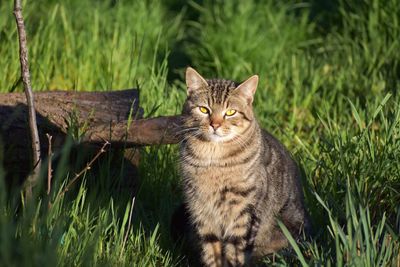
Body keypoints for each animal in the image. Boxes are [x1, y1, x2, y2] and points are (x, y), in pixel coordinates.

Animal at [177, 67, 310, 267]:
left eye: (231, 112)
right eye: (203, 109)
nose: (215, 124)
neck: (213, 160)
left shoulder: (245, 211)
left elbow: (236, 251)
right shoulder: (201, 207)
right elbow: (211, 250)